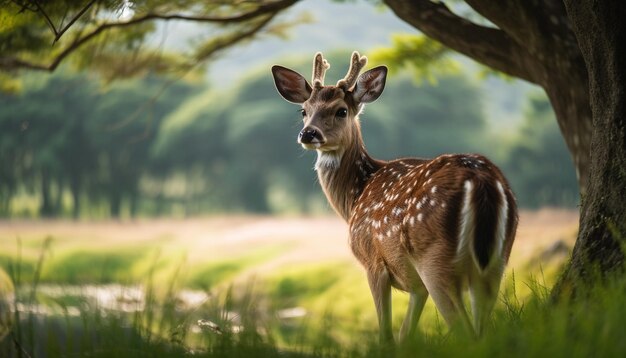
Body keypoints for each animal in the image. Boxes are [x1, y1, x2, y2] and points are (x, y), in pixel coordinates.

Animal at [270, 51, 516, 342]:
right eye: (304, 110)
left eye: (341, 110)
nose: (308, 133)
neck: (356, 196)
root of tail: (481, 181)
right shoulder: (416, 286)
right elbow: (405, 335)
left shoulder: (373, 262)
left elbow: (386, 336)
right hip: (496, 262)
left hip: (435, 258)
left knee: (466, 332)